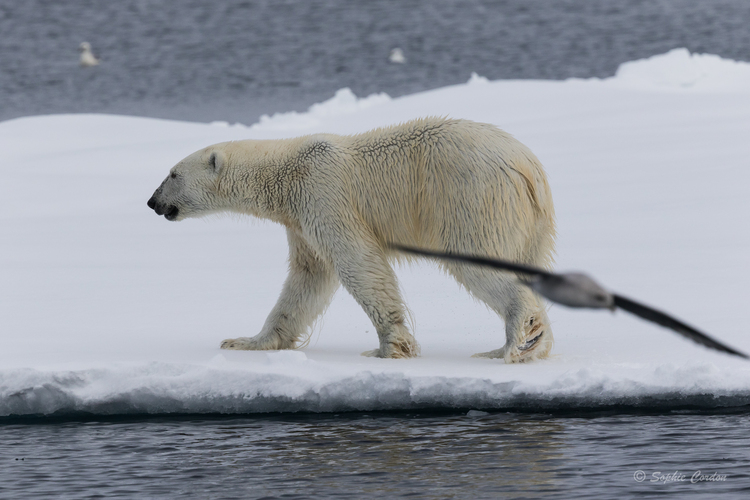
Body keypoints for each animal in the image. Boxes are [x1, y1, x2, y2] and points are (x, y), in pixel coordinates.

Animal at [148, 117, 560, 364]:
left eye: (172, 174)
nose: (152, 202)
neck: (288, 171)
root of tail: (529, 168)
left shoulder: (323, 194)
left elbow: (358, 263)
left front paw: (389, 348)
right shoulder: (299, 219)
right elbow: (308, 278)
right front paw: (245, 342)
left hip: (471, 198)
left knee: (478, 262)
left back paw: (514, 342)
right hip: (532, 224)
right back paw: (519, 345)